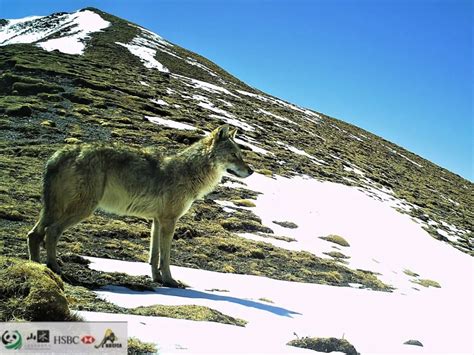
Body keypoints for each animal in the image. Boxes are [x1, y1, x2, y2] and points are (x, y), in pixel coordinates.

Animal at [26, 126, 252, 288]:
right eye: (234, 155)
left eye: (241, 154)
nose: (251, 171)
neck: (190, 172)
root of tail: (60, 153)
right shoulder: (169, 221)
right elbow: (166, 257)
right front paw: (170, 281)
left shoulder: (156, 221)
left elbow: (154, 256)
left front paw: (157, 279)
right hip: (82, 209)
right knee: (51, 231)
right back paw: (55, 267)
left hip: (56, 209)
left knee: (34, 234)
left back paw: (37, 268)